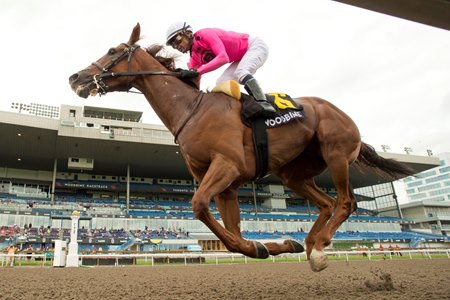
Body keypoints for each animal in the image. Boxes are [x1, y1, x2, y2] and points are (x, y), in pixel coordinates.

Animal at [68, 23, 416, 272]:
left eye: (112, 49)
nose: (75, 77)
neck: (192, 110)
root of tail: (339, 112)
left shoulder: (228, 166)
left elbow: (198, 206)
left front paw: (268, 246)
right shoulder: (227, 186)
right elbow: (233, 236)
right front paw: (270, 246)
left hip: (337, 154)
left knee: (346, 202)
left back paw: (319, 247)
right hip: (293, 174)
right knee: (327, 204)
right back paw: (309, 244)